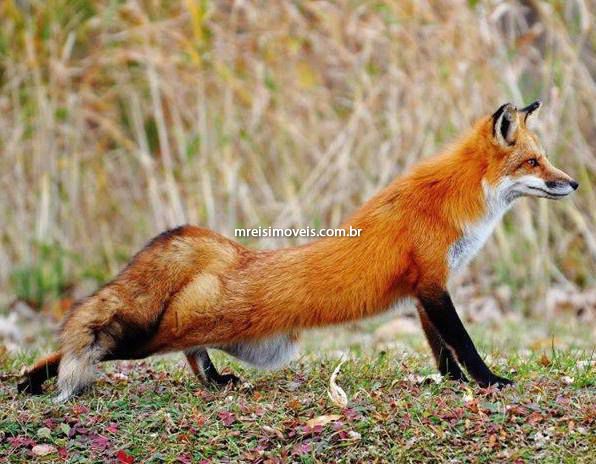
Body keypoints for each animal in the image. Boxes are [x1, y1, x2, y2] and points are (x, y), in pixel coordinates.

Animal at [18, 101, 578, 402]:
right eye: (534, 162)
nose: (572, 182)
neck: (453, 202)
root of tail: (228, 256)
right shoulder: (433, 285)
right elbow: (463, 342)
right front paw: (489, 381)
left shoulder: (423, 292)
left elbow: (442, 350)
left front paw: (448, 382)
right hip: (156, 336)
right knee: (100, 344)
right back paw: (31, 379)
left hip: (201, 330)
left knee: (187, 351)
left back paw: (214, 381)